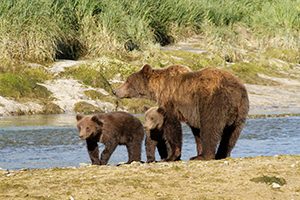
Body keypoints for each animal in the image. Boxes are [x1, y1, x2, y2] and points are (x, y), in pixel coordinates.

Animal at [113, 65, 250, 160]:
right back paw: (221, 154)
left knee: (211, 126)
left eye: (127, 81)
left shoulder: (172, 102)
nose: (115, 91)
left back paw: (205, 156)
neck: (158, 88)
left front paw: (172, 156)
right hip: (241, 110)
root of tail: (236, 91)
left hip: (214, 101)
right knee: (232, 134)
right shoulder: (194, 112)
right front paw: (197, 151)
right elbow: (196, 130)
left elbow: (173, 126)